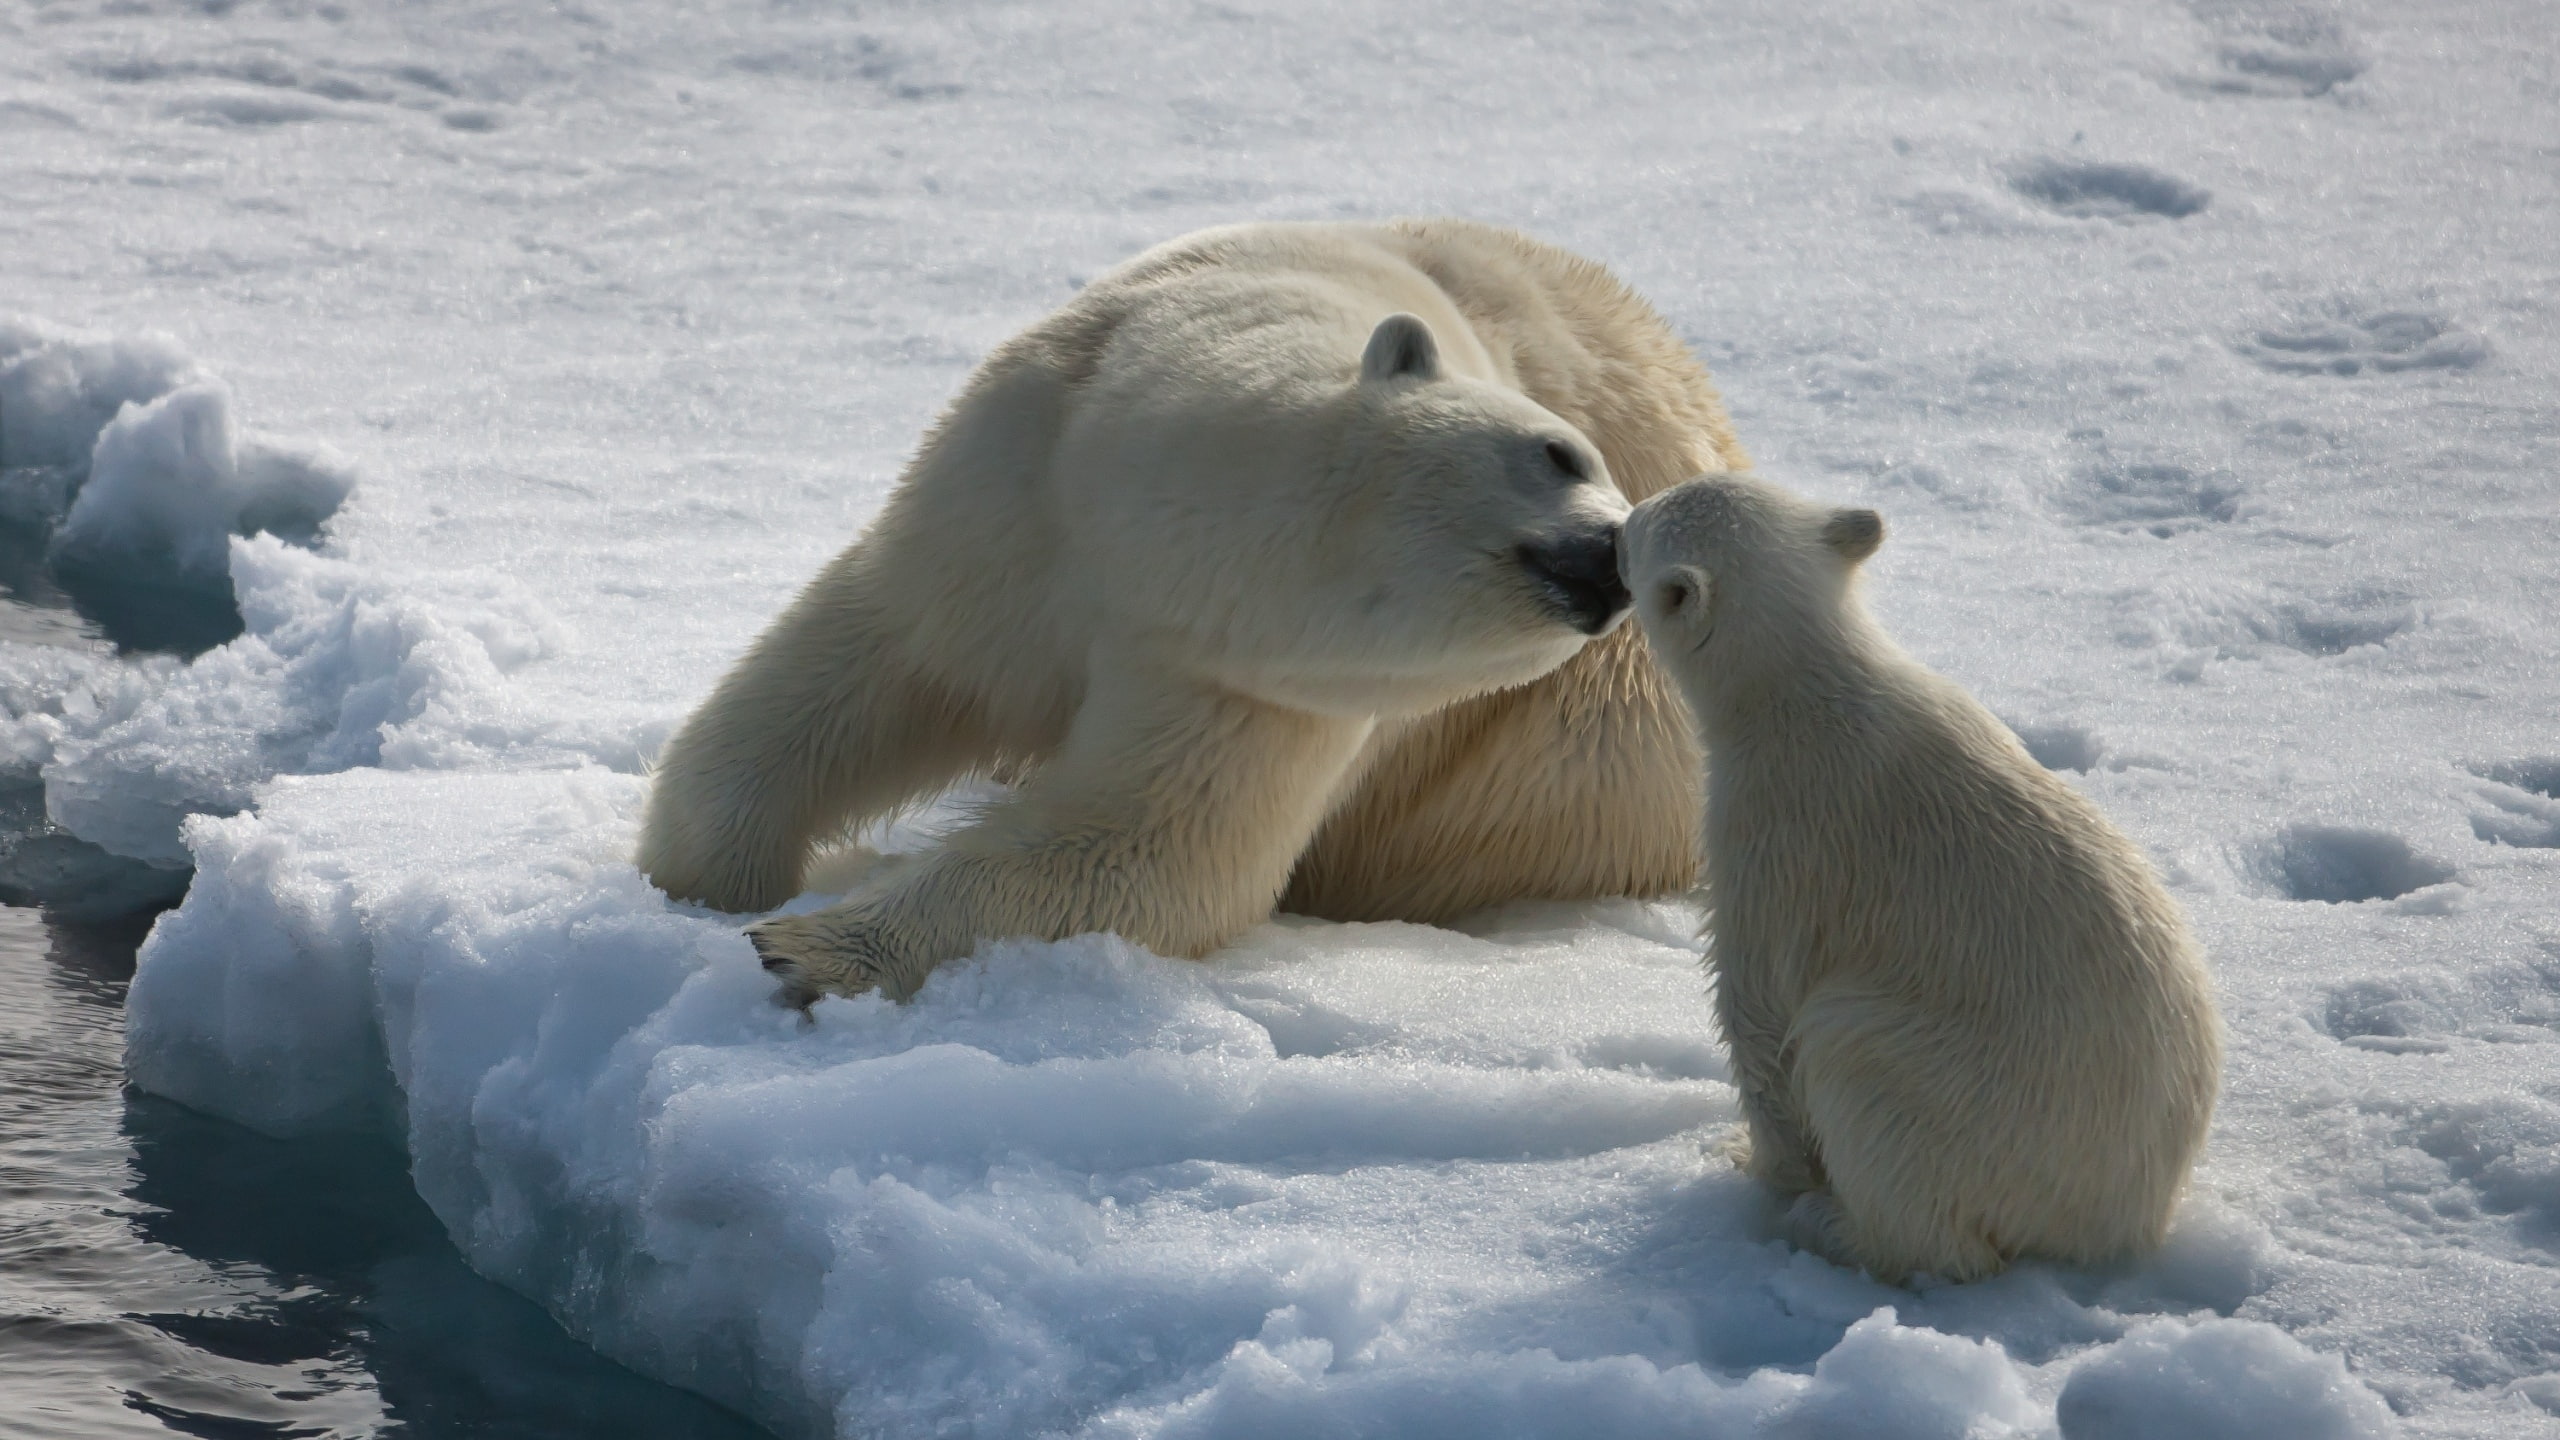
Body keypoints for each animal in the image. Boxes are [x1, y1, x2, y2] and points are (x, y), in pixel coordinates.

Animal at [639, 219, 1748, 1003]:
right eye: (1558, 452)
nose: (1614, 561)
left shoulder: (1249, 685)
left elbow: (1146, 850)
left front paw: (805, 946)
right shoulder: (1018, 495)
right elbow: (875, 667)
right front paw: (701, 886)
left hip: (1585, 767)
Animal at [1617, 474, 2222, 1283]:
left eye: (1644, 521)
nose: (1612, 525)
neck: (1805, 689)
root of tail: (2120, 1225)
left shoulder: (1771, 832)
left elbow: (1760, 1005)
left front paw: (1760, 1162)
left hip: (1965, 1098)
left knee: (1859, 1068)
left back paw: (1835, 1226)